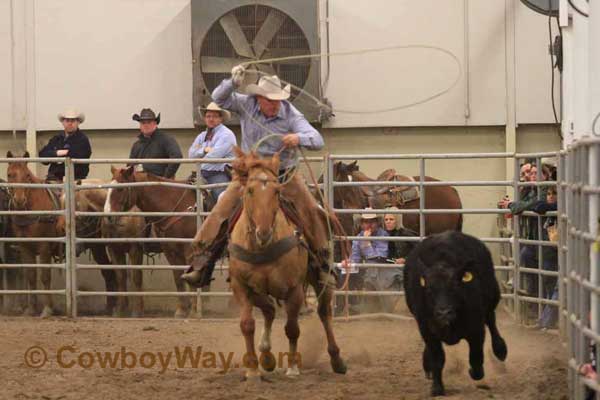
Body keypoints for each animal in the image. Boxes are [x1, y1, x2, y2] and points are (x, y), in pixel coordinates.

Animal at [108, 166, 199, 318]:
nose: (108, 216)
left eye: (120, 189)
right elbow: (178, 278)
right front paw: (181, 311)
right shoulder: (170, 251)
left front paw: (193, 312)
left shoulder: (189, 251)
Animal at [226, 148, 346, 380]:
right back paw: (266, 356)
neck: (261, 247)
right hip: (259, 291)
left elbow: (292, 328)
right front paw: (252, 369)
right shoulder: (241, 286)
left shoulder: (294, 289)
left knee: (324, 313)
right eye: (250, 191)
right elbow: (247, 325)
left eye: (276, 192)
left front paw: (292, 367)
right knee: (269, 309)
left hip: (320, 278)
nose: (263, 233)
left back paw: (337, 360)